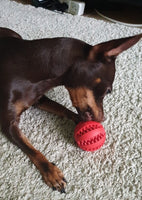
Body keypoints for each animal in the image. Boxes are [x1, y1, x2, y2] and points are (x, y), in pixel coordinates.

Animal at [0, 27, 141, 193]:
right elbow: (30, 148)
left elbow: (63, 109)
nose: (102, 119)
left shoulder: (39, 99)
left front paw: (79, 121)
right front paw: (51, 171)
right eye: (108, 91)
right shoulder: (8, 123)